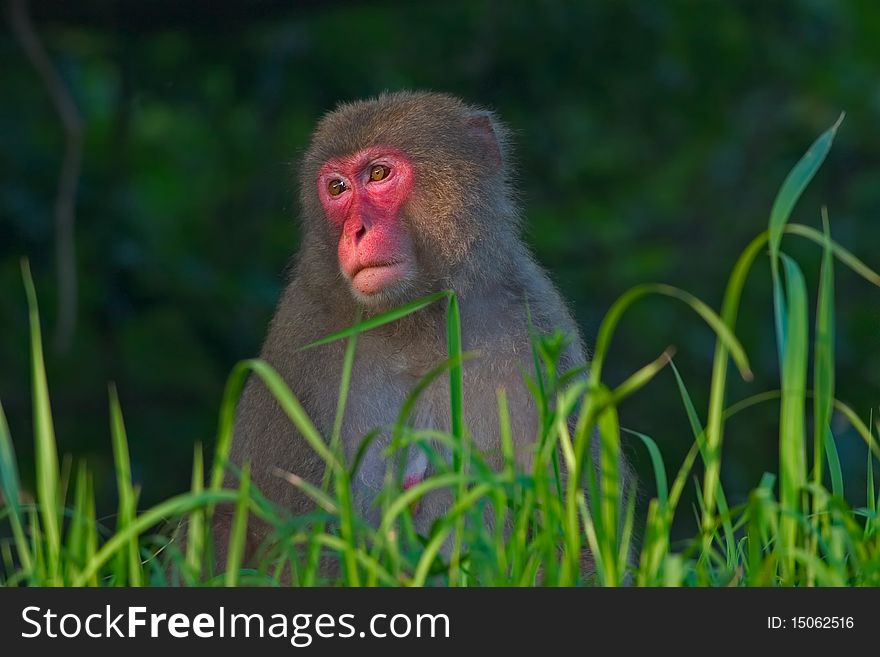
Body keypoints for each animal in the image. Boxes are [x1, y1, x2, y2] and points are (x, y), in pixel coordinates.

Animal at [220, 89, 620, 572]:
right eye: (337, 189)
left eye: (378, 174)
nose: (356, 231)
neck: (413, 320)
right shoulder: (298, 339)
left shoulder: (537, 328)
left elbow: (574, 539)